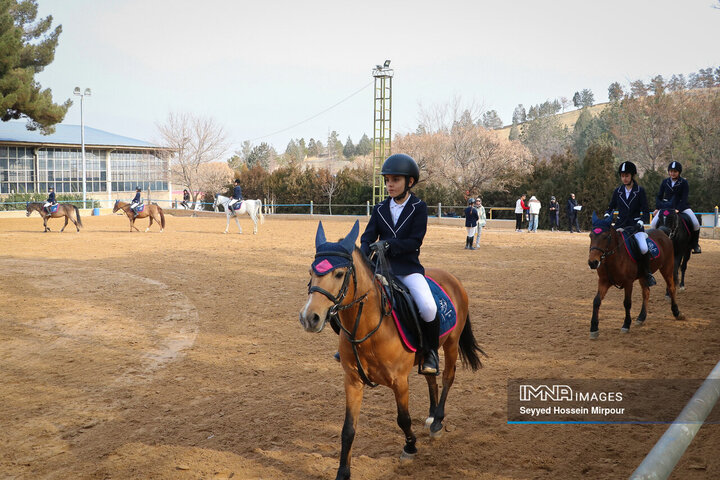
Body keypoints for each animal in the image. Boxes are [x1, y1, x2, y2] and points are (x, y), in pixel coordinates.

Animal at [298, 221, 484, 480]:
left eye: (339, 273)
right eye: (311, 272)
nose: (309, 318)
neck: (368, 328)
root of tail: (451, 278)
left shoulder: (400, 382)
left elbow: (403, 419)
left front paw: (410, 448)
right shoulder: (352, 381)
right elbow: (348, 429)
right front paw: (343, 472)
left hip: (452, 343)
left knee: (447, 377)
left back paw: (437, 421)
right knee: (431, 377)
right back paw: (431, 414)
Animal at [588, 212, 684, 340]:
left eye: (606, 237)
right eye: (590, 236)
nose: (592, 262)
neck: (613, 258)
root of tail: (662, 232)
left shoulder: (628, 283)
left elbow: (627, 303)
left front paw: (626, 325)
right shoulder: (603, 281)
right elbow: (596, 301)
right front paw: (594, 328)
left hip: (667, 268)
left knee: (671, 287)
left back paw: (676, 312)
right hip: (644, 275)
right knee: (646, 292)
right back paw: (641, 317)